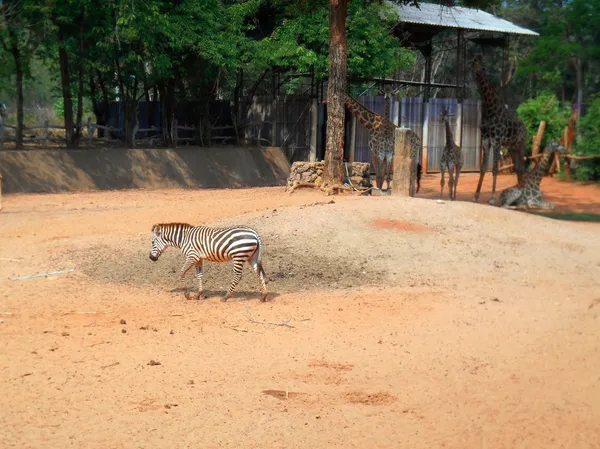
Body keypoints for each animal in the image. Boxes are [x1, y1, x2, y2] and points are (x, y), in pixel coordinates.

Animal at [472, 56, 528, 205]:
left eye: (481, 63)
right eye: (473, 61)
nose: (477, 70)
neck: (490, 110)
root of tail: (525, 127)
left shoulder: (496, 141)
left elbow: (495, 168)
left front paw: (492, 199)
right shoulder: (486, 141)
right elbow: (483, 168)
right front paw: (476, 196)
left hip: (521, 145)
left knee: (522, 167)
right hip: (512, 147)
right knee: (518, 168)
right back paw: (518, 196)